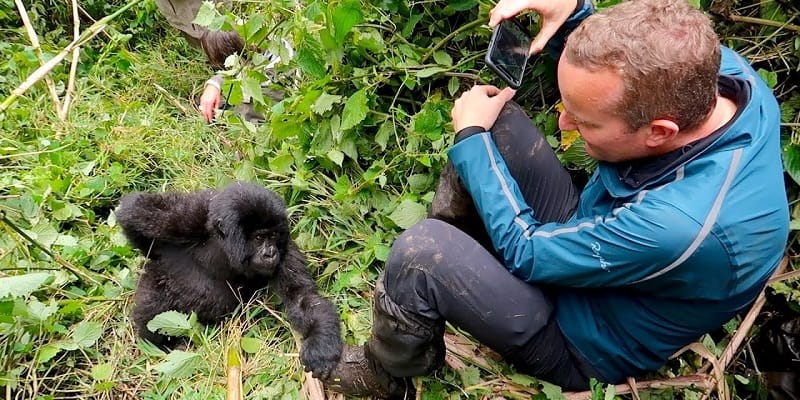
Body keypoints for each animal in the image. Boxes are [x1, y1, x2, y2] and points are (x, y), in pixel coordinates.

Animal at [115, 181, 340, 378]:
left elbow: (302, 297)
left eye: (274, 236)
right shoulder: (193, 214)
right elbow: (135, 210)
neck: (226, 247)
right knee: (153, 303)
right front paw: (152, 250)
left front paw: (320, 343)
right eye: (259, 237)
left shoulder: (286, 250)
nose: (270, 254)